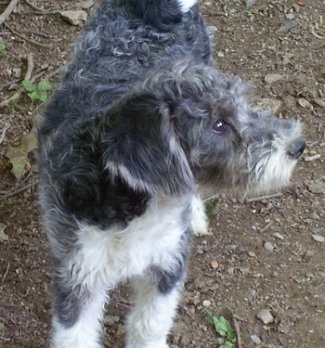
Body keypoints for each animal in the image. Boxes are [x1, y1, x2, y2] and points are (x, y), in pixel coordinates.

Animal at [38, 0, 304, 348]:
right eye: (219, 124)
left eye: (243, 105)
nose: (298, 145)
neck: (134, 202)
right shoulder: (77, 274)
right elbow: (75, 334)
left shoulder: (168, 263)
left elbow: (150, 324)